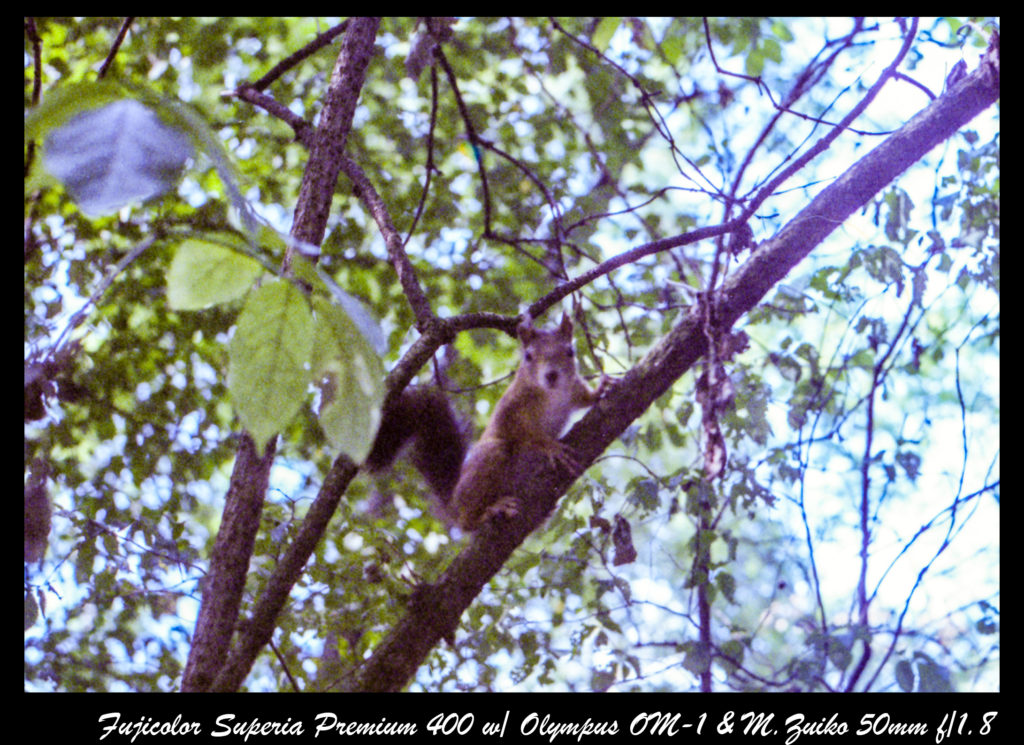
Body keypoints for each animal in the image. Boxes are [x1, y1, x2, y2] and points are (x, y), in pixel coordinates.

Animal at [364, 313, 606, 528]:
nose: (551, 375)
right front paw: (551, 446)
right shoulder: (511, 409)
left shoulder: (571, 389)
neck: (551, 393)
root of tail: (453, 503)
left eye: (570, 351)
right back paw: (489, 511)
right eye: (528, 356)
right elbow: (522, 432)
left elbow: (583, 398)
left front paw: (602, 389)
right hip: (488, 460)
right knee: (467, 522)